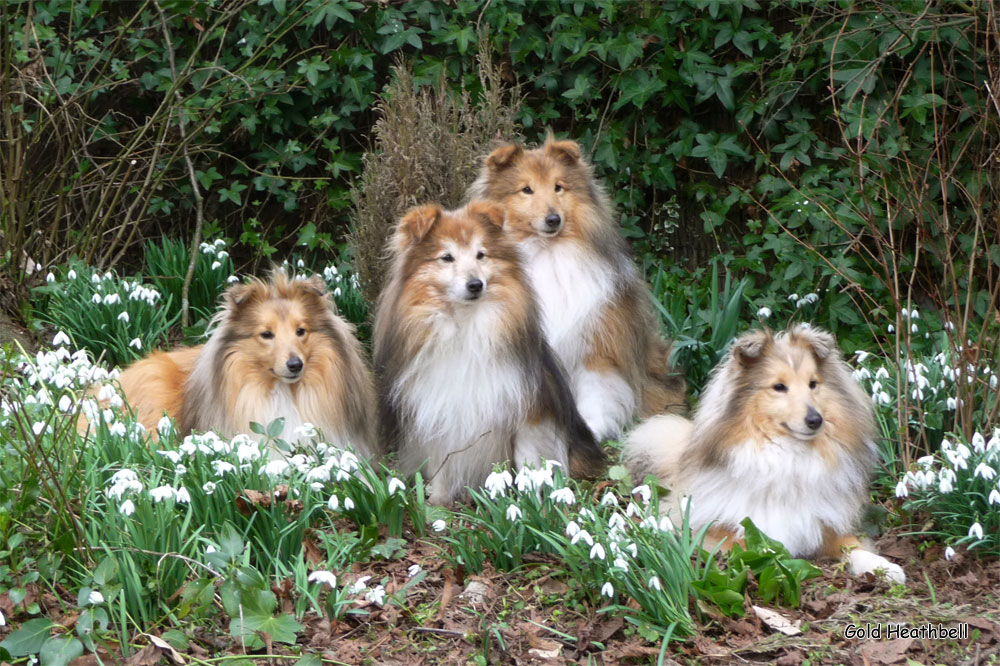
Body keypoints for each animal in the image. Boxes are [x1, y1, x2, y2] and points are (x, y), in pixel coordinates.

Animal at [374, 200, 600, 500]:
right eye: (447, 257)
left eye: (481, 255)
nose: (475, 285)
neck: (465, 324)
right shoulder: (436, 410)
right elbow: (441, 461)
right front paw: (436, 501)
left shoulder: (528, 410)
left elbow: (526, 457)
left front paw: (528, 500)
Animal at [464, 134, 684, 440]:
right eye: (526, 190)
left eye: (559, 187)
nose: (553, 219)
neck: (545, 252)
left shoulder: (594, 346)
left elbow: (596, 393)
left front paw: (592, 430)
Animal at [624, 326, 908, 580]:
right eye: (779, 387)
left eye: (813, 384)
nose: (815, 420)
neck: (789, 454)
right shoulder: (717, 528)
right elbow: (758, 548)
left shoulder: (821, 522)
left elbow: (851, 543)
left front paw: (883, 567)